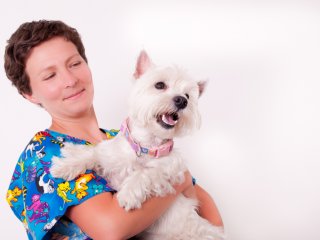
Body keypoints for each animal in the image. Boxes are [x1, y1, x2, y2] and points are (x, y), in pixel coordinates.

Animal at [50, 51, 225, 239]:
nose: (182, 101)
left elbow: (147, 172)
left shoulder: (171, 169)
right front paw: (64, 166)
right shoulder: (110, 158)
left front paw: (127, 195)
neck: (146, 145)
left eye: (188, 96)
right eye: (160, 85)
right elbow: (92, 153)